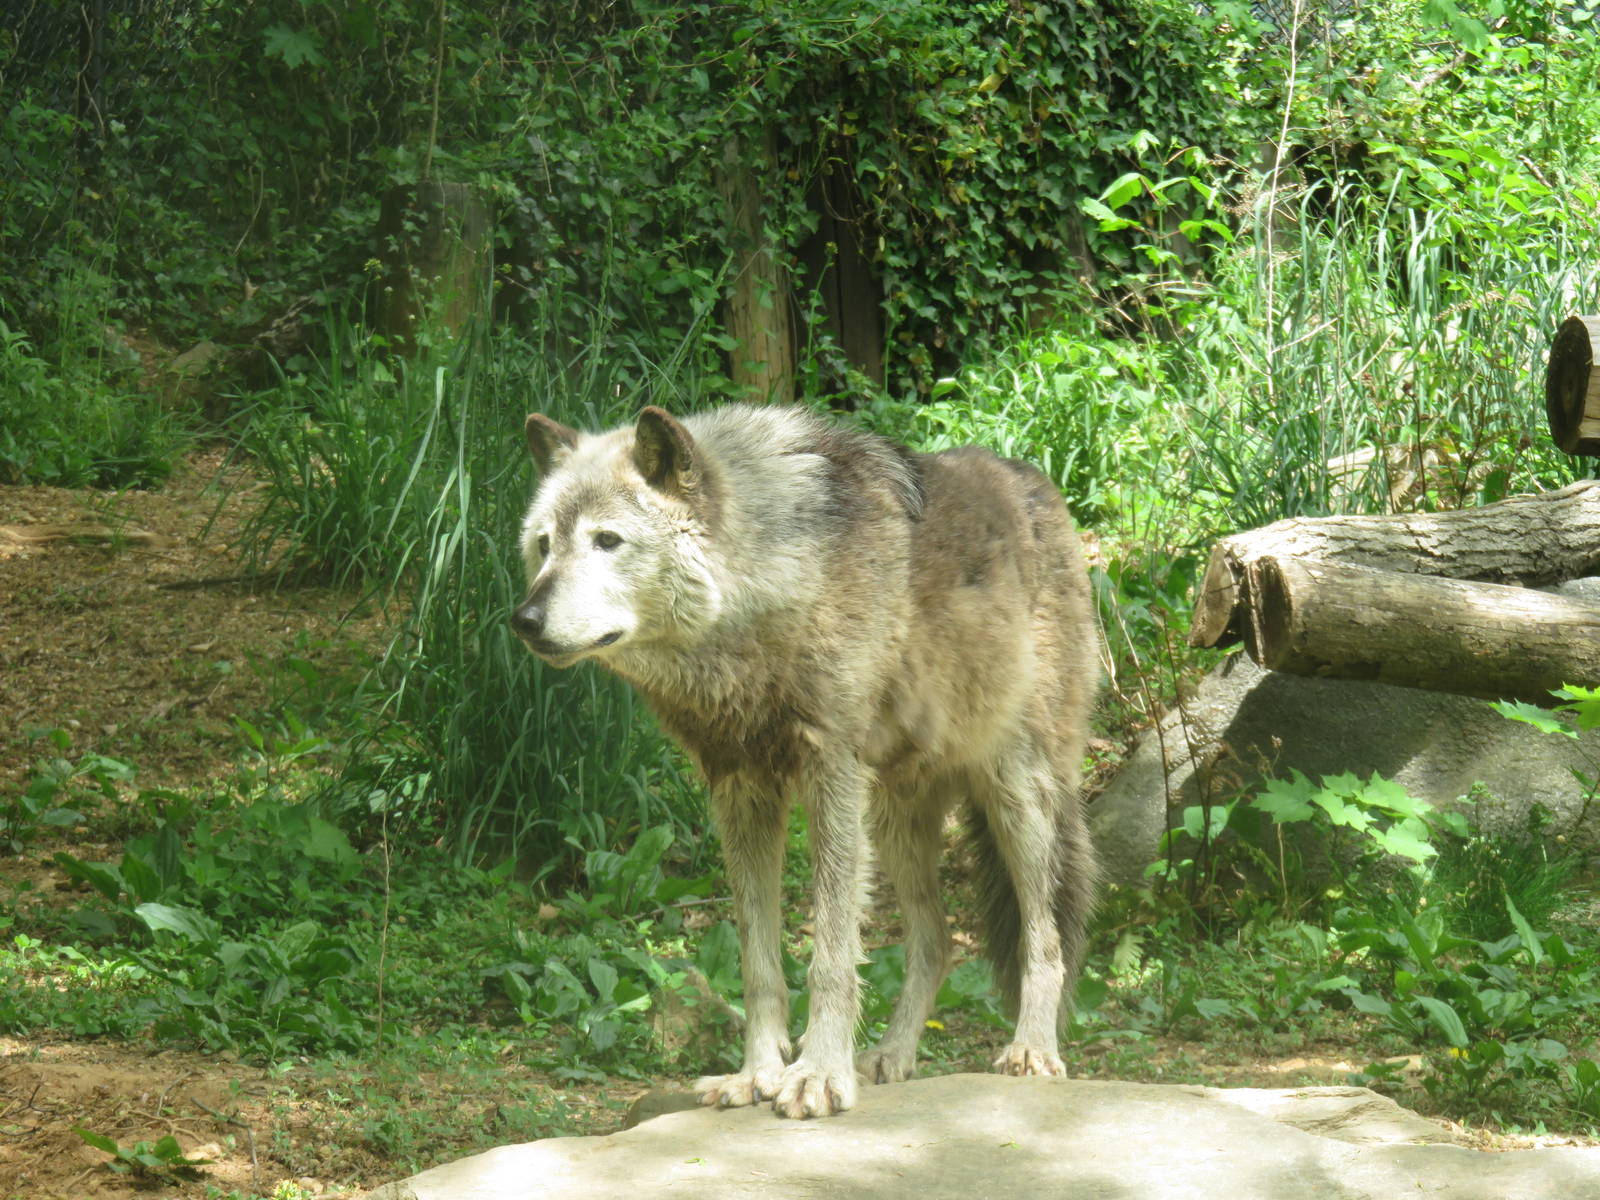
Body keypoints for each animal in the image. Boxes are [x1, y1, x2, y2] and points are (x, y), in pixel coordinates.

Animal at [512, 403, 1098, 1119]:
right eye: (545, 545)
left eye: (607, 541)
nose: (525, 619)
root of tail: (1041, 488)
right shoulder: (739, 788)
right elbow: (760, 962)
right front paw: (756, 1074)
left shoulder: (831, 775)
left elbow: (830, 957)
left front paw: (818, 1075)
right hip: (895, 823)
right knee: (934, 944)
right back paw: (892, 1057)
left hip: (1016, 797)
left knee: (1046, 936)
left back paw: (1032, 1051)